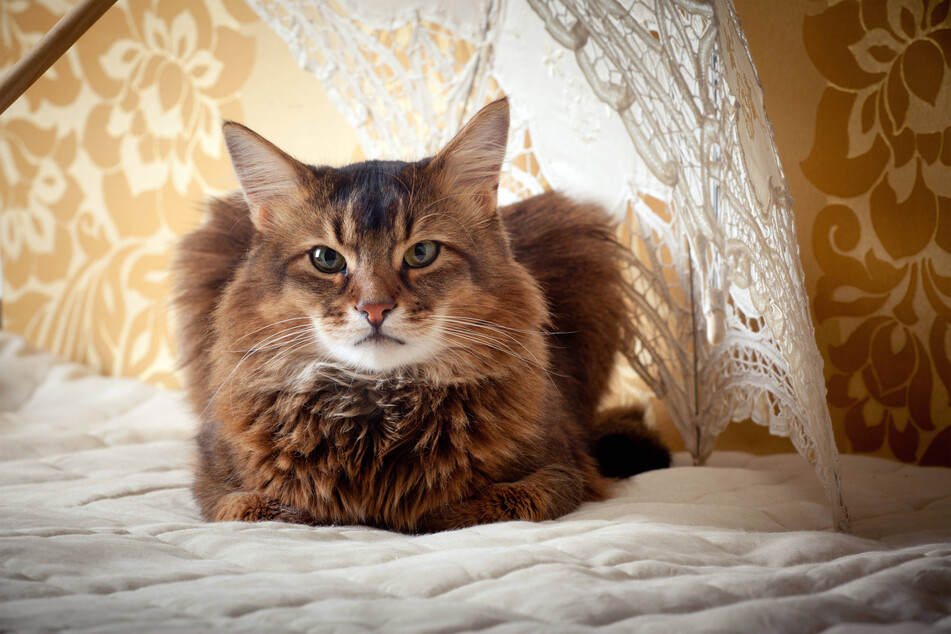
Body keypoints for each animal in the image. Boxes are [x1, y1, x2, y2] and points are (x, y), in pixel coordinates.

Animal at [173, 97, 668, 532]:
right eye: (326, 259)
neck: (380, 406)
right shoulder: (217, 486)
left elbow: (470, 509)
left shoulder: (562, 472)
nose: (374, 308)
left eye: (422, 253)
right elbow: (275, 509)